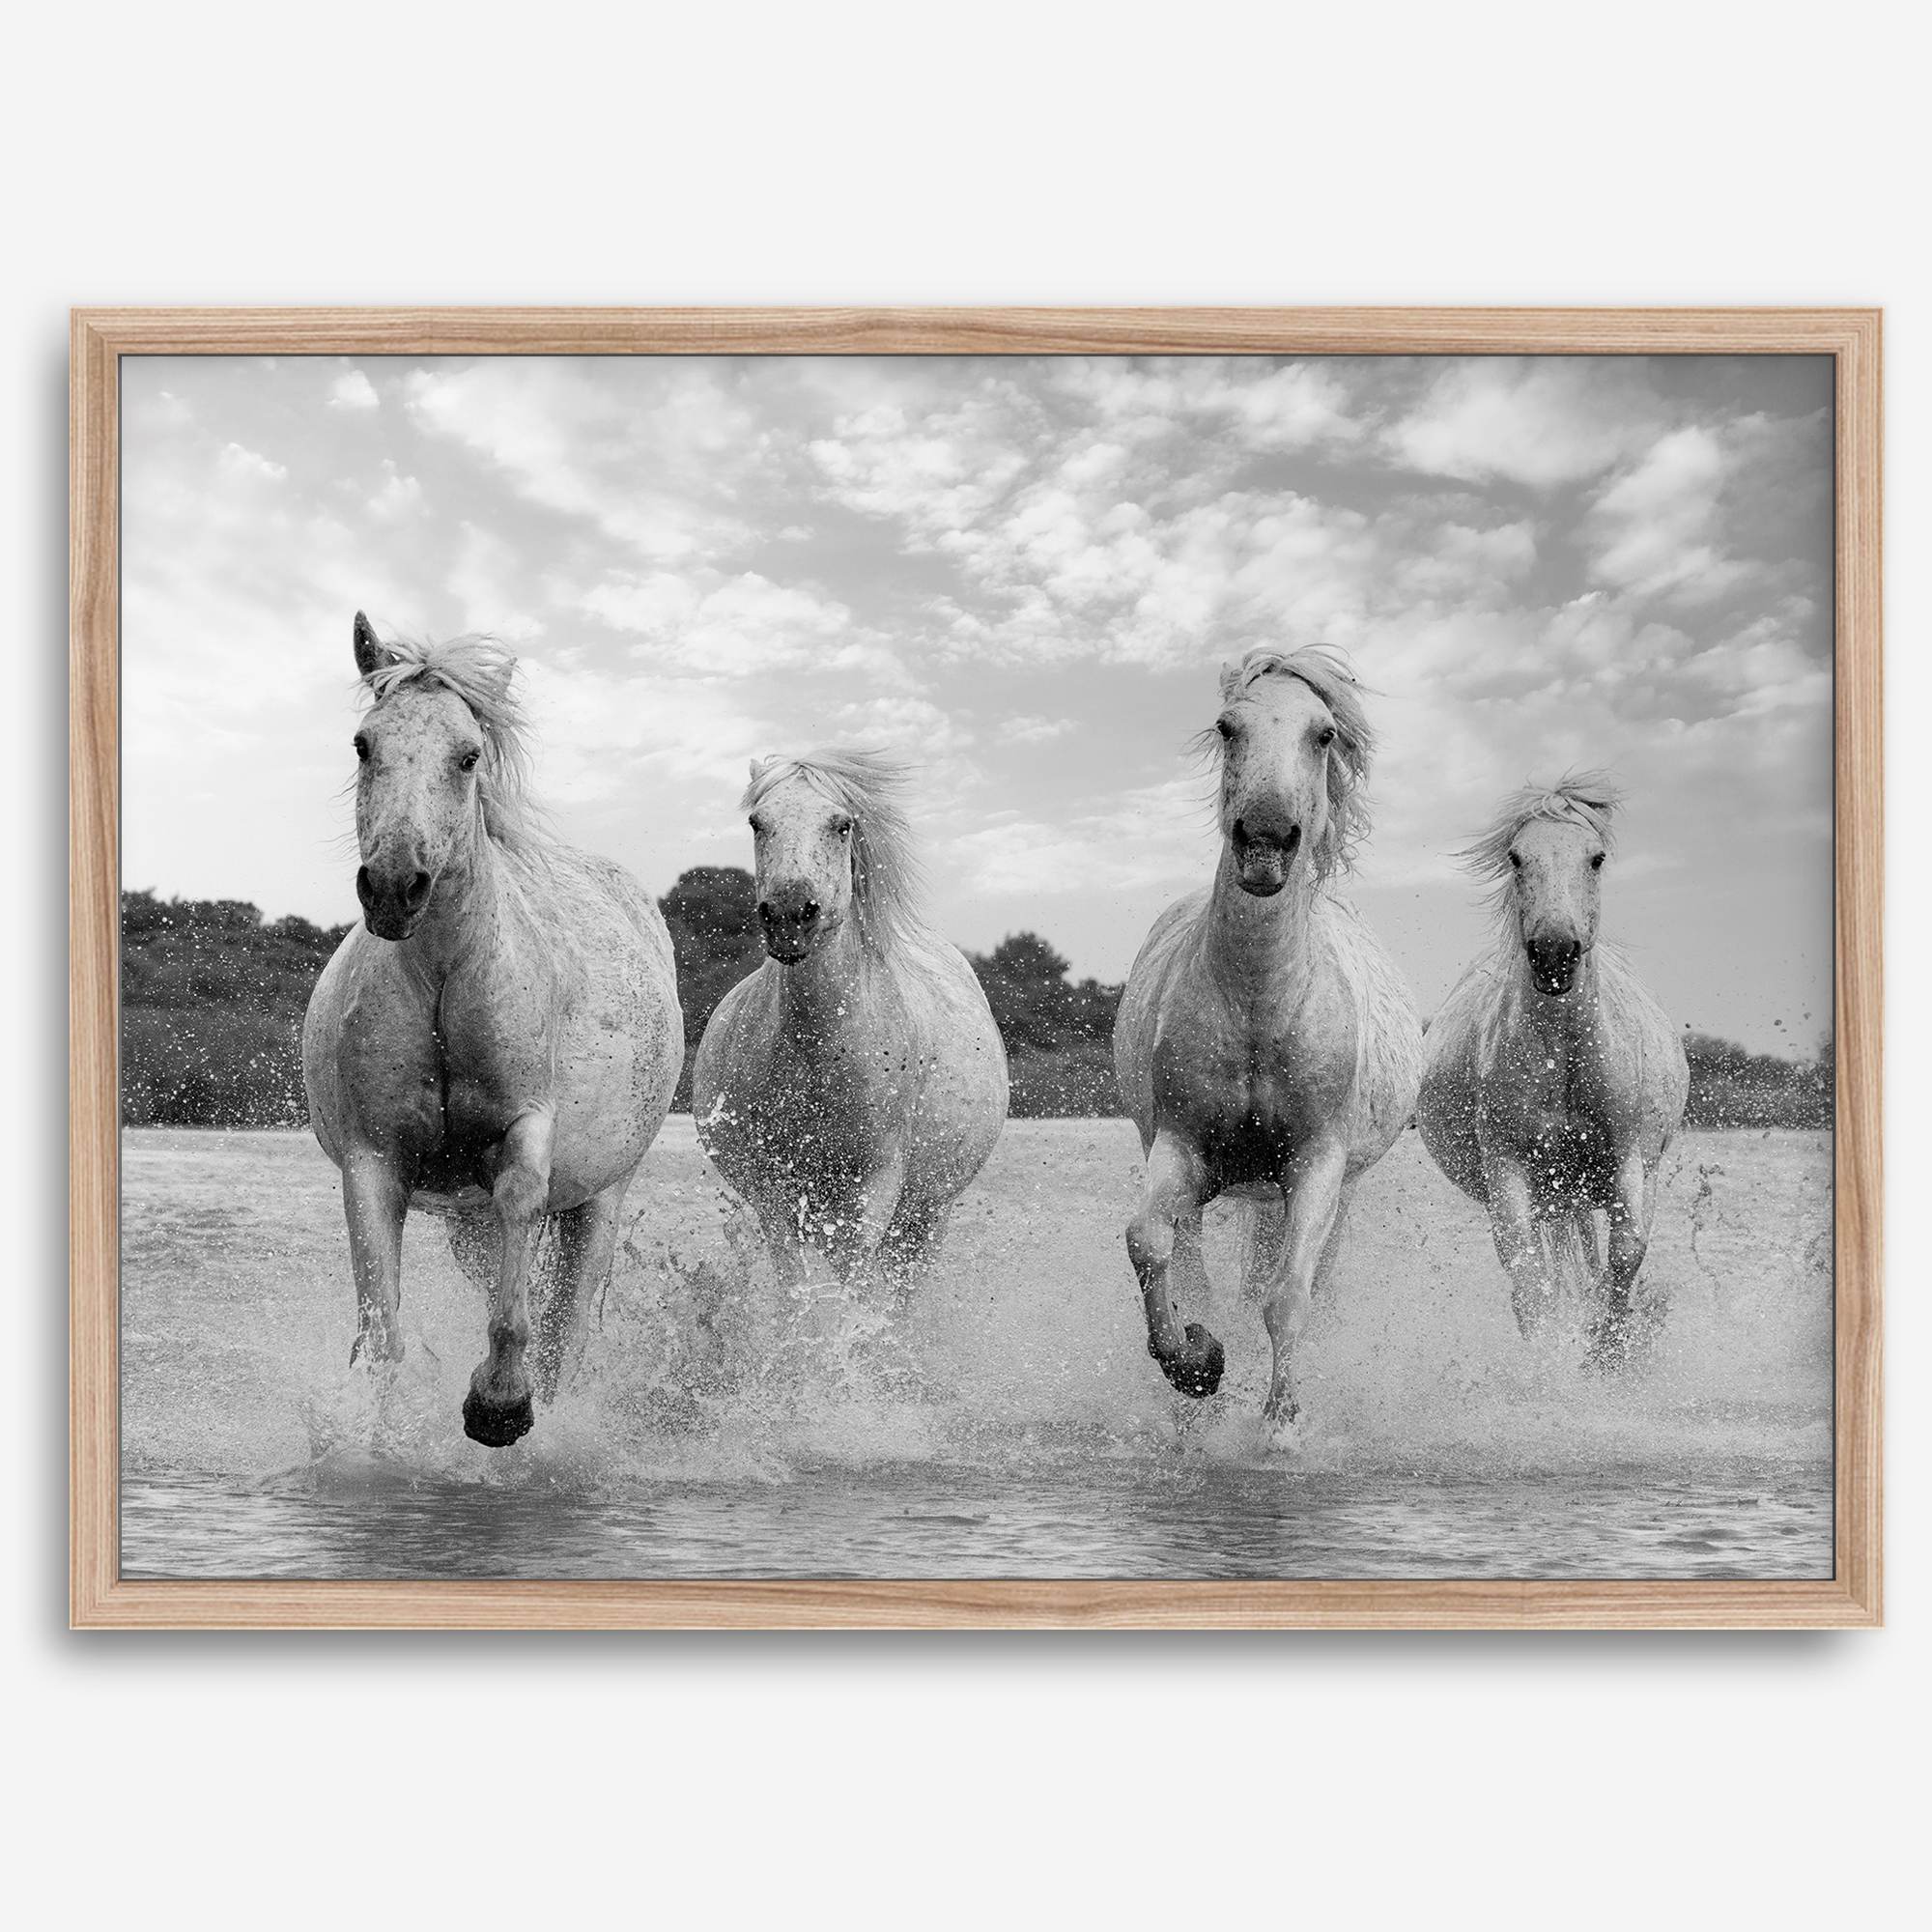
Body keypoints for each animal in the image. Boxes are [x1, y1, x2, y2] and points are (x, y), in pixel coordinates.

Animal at [302, 614, 683, 1447]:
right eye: (364, 744)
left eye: (468, 754)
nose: (394, 888)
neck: (448, 973)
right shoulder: (373, 1162)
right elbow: (382, 1334)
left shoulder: (525, 1129)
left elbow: (519, 1228)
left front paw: (500, 1403)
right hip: (466, 1224)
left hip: (600, 1200)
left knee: (567, 1330)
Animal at [691, 750, 1008, 1286]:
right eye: (757, 822)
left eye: (841, 825)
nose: (790, 915)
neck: (819, 1048)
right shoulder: (776, 1194)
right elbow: (798, 1295)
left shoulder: (875, 1186)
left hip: (927, 1214)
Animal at [1114, 646, 1423, 1444]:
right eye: (1229, 727)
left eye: (1323, 734)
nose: (1263, 839)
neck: (1259, 1003)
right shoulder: (1181, 1149)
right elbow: (1148, 1242)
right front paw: (1197, 1365)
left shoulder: (1316, 1165)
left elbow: (1287, 1297)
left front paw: (1280, 1425)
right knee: (1196, 1266)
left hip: (1334, 1189)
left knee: (1299, 1282)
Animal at [1414, 773, 1689, 1363]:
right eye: (1517, 857)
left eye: (1596, 857)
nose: (1555, 952)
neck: (1566, 1053)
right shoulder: (1510, 1172)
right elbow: (1531, 1283)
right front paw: (1550, 1367)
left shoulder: (1630, 1163)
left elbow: (1624, 1258)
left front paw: (1605, 1355)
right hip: (1553, 1197)